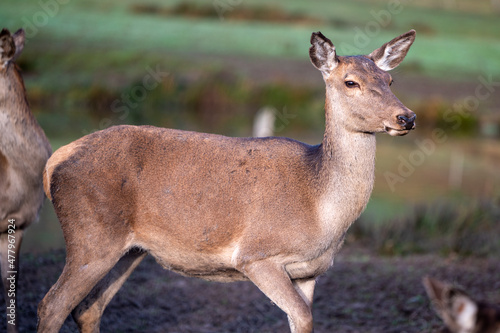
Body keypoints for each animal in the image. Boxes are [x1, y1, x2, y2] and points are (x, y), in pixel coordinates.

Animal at [36, 29, 418, 330]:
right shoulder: (257, 256)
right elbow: (302, 316)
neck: (320, 208)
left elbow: (303, 319)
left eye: (390, 81)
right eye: (350, 81)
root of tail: (53, 162)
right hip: (91, 235)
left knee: (88, 309)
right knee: (51, 304)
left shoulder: (310, 272)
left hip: (130, 250)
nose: (407, 117)